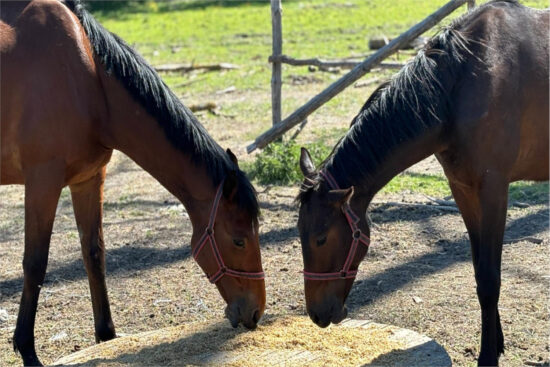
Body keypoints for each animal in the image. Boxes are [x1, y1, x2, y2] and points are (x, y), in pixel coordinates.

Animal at [0, 0, 268, 366]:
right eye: (239, 240)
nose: (256, 312)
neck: (87, 78)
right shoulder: (43, 182)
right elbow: (35, 264)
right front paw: (27, 349)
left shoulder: (88, 180)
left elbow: (94, 254)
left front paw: (106, 336)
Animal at [300, 1, 548, 366]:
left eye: (320, 238)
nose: (317, 315)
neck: (460, 82)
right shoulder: (463, 189)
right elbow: (480, 273)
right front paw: (497, 341)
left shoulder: (494, 189)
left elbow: (491, 278)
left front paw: (488, 355)